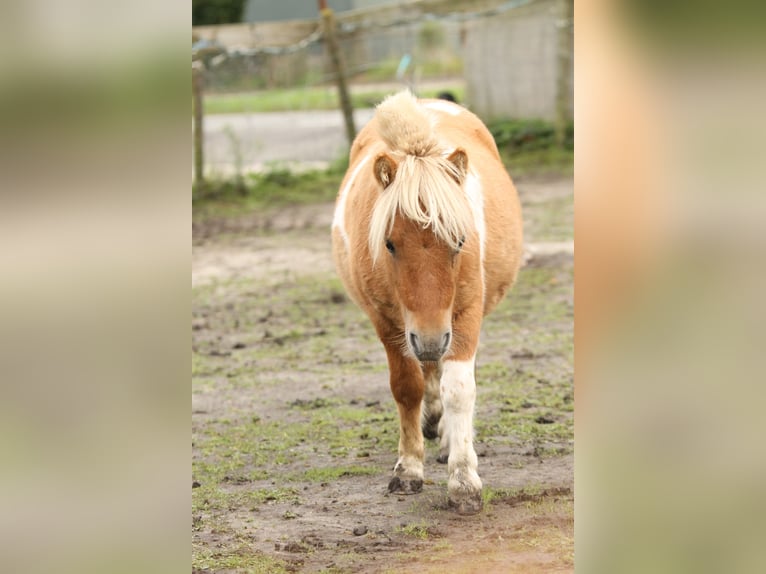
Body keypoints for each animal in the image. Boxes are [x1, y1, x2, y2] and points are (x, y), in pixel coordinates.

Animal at [332, 91, 524, 516]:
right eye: (389, 244)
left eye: (460, 240)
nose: (432, 337)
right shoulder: (389, 323)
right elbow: (407, 387)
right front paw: (408, 469)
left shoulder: (463, 315)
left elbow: (459, 389)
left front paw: (464, 481)